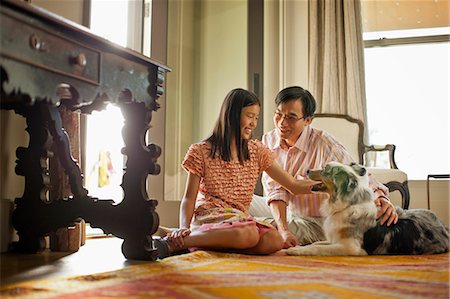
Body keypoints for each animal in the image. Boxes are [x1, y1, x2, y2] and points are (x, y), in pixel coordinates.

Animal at [286, 163, 448, 256]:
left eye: (326, 170)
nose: (307, 170)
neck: (348, 205)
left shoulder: (350, 247)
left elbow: (318, 249)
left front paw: (294, 250)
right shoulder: (335, 239)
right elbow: (316, 243)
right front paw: (297, 246)